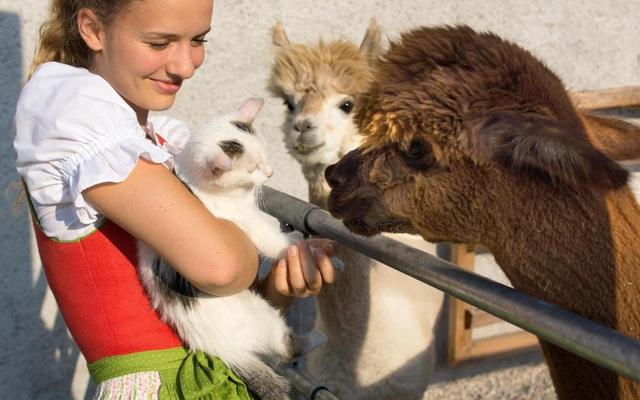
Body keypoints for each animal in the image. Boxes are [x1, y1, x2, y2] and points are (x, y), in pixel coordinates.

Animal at [138, 98, 298, 398]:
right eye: (251, 169)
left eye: (266, 156)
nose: (270, 172)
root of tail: (223, 352)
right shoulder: (246, 222)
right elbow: (273, 240)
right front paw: (302, 244)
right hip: (262, 317)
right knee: (286, 347)